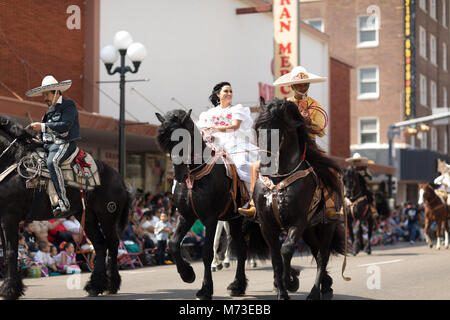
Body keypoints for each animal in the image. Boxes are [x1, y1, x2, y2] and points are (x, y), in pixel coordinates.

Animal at [0, 117, 130, 300]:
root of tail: (120, 181)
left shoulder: (10, 218)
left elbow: (11, 252)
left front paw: (10, 290)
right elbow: (6, 253)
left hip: (107, 217)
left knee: (112, 244)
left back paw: (111, 284)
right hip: (88, 217)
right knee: (100, 245)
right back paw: (95, 286)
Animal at [156, 109, 268, 300]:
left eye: (182, 139)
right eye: (165, 143)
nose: (178, 175)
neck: (196, 176)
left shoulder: (210, 218)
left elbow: (207, 252)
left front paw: (205, 289)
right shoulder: (186, 217)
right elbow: (173, 243)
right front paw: (187, 274)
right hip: (235, 219)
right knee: (242, 249)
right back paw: (237, 286)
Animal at [253, 99, 348, 302]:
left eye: (276, 128)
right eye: (257, 128)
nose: (264, 163)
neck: (278, 178)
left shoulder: (297, 221)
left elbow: (286, 249)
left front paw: (289, 281)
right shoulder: (266, 225)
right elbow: (275, 257)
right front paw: (282, 292)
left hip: (325, 225)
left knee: (322, 255)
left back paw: (315, 292)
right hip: (310, 230)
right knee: (316, 251)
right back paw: (325, 286)